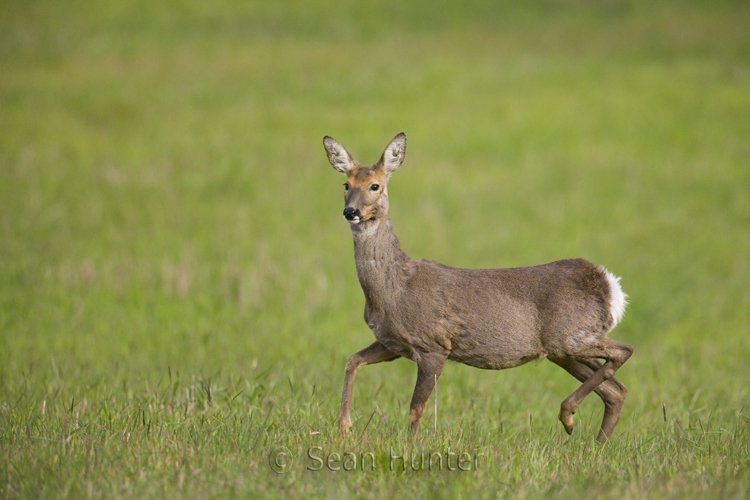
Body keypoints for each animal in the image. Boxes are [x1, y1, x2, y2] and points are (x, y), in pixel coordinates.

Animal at [324, 133, 636, 442]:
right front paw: (344, 428)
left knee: (624, 351)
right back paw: (593, 442)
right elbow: (352, 361)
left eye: (375, 185)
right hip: (563, 351)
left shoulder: (433, 344)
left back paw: (568, 415)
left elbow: (416, 408)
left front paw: (410, 446)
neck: (395, 288)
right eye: (346, 184)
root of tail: (609, 285)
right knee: (616, 390)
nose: (351, 211)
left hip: (571, 336)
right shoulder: (394, 342)